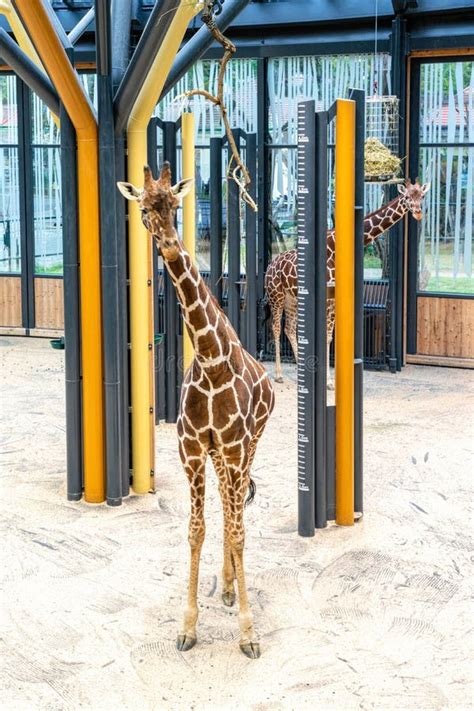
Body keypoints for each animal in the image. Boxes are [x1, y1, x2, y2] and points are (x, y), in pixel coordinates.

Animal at [117, 164, 274, 660]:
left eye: (175, 205)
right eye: (144, 209)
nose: (169, 243)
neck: (210, 360)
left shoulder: (237, 446)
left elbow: (238, 531)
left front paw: (248, 633)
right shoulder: (191, 450)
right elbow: (196, 530)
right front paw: (187, 627)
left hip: (248, 446)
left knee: (235, 509)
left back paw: (231, 588)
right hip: (220, 456)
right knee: (226, 505)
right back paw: (224, 586)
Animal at [264, 181, 432, 386]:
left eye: (421, 196)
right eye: (407, 197)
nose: (418, 213)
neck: (335, 249)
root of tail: (270, 266)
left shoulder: (335, 300)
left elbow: (331, 337)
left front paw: (329, 381)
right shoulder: (327, 299)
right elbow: (326, 337)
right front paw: (329, 382)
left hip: (292, 299)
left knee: (289, 328)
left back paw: (298, 370)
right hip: (276, 296)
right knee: (276, 327)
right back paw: (279, 374)